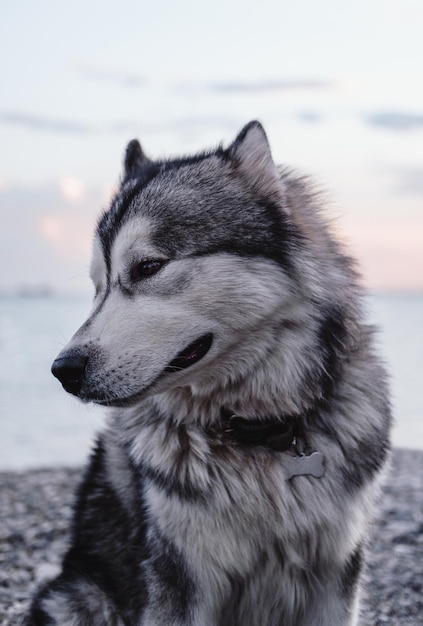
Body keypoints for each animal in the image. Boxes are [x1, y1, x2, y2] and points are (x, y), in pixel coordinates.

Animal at [25, 122, 390, 624]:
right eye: (97, 287)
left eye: (149, 266)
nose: (64, 370)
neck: (258, 435)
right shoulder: (180, 577)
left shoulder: (336, 573)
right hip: (79, 596)